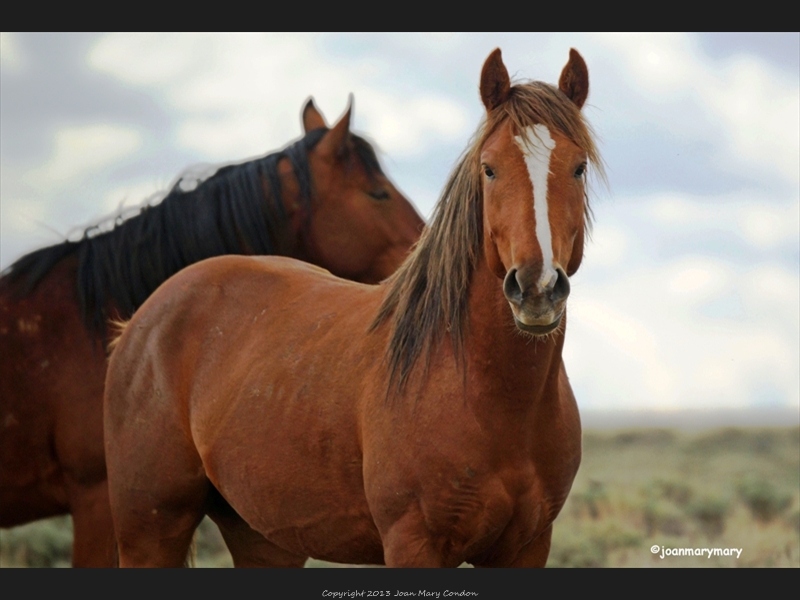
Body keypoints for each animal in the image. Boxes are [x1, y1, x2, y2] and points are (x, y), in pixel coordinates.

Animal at [104, 47, 600, 568]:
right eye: (489, 168)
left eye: (578, 167)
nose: (536, 286)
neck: (494, 398)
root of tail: (136, 324)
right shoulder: (412, 542)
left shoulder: (527, 546)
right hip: (149, 531)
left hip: (262, 537)